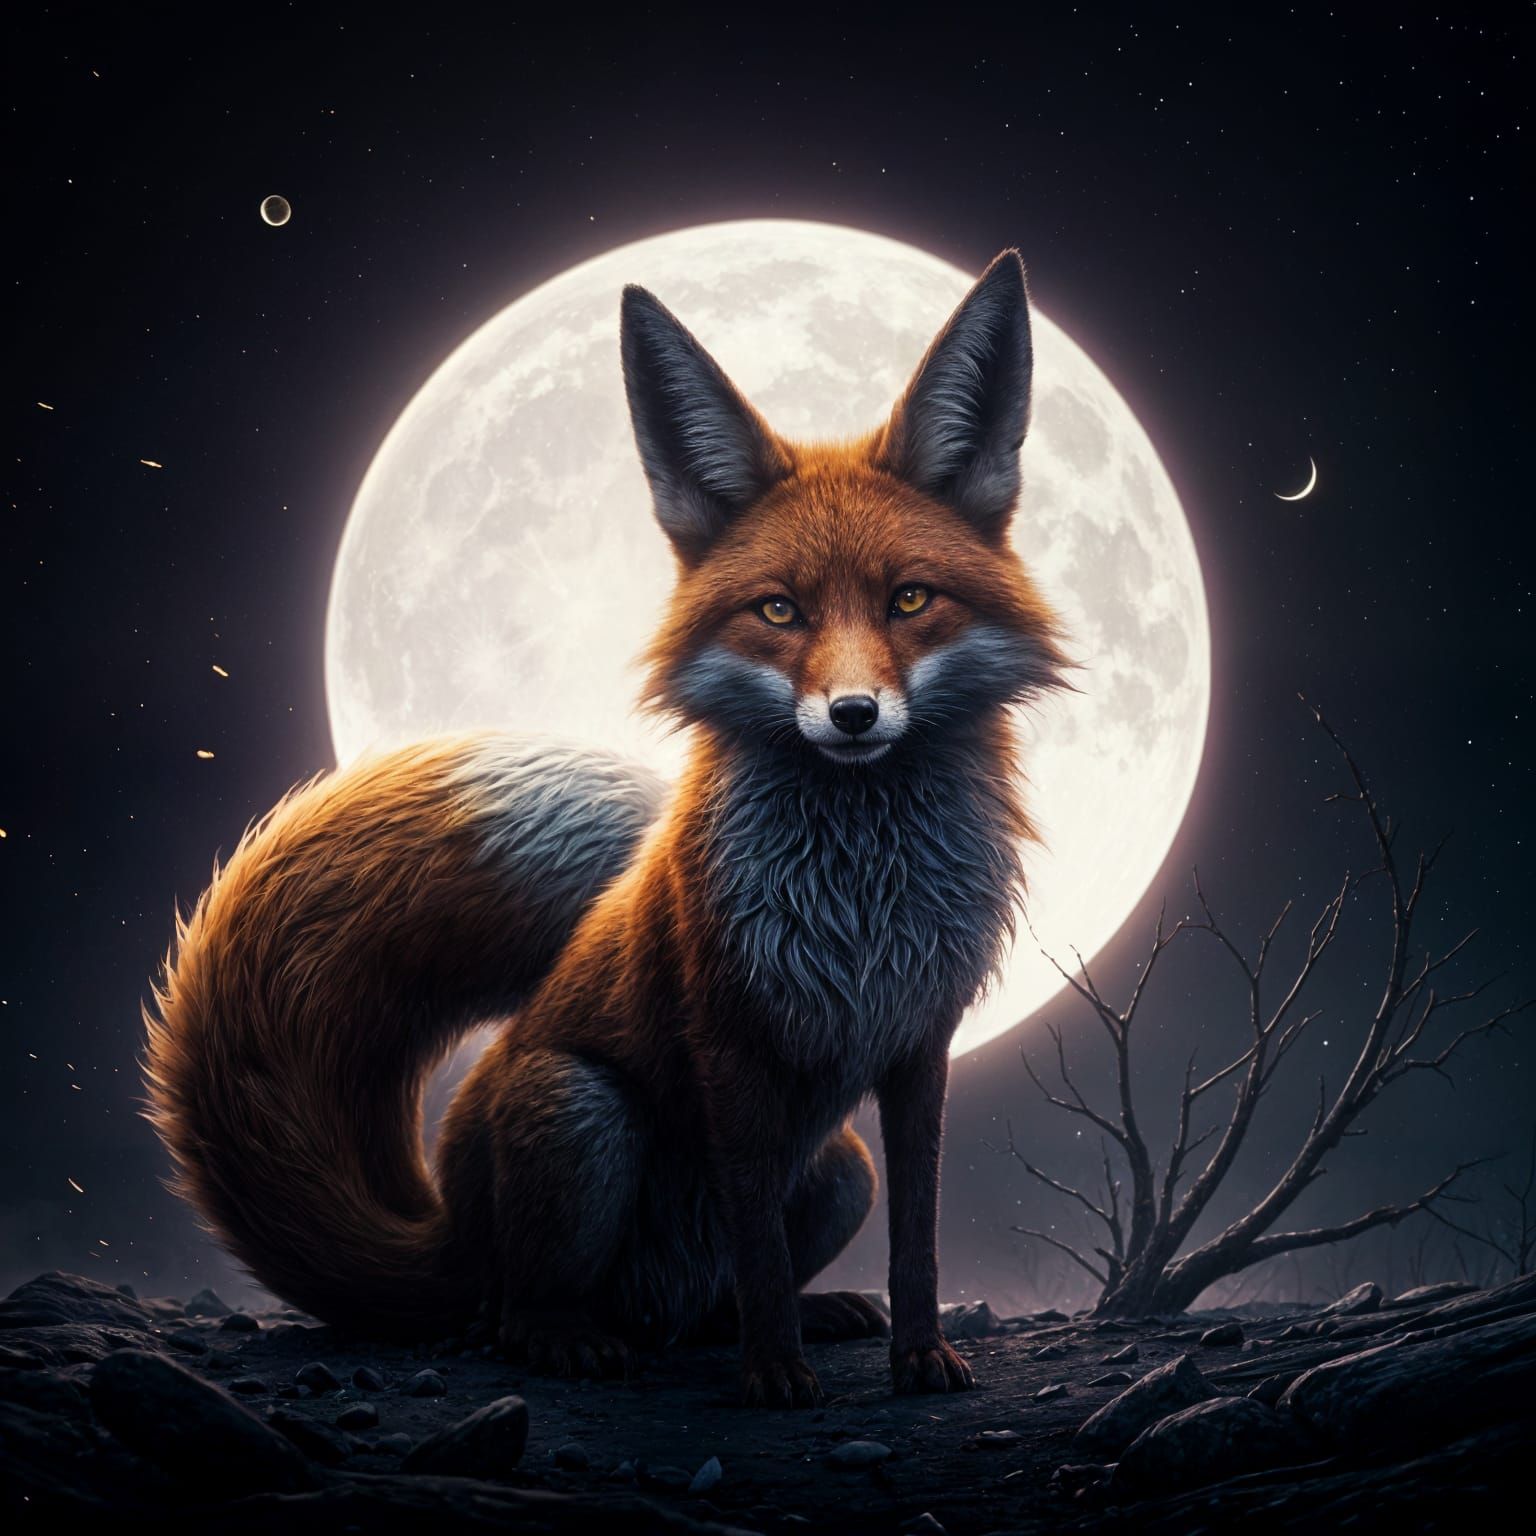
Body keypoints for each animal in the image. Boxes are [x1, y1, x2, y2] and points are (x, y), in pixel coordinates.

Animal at [143, 247, 1070, 1408]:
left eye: (910, 601)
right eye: (779, 611)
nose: (853, 715)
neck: (859, 899)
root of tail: (447, 1229)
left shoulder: (917, 1046)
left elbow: (918, 1239)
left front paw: (919, 1358)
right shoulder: (727, 1043)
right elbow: (756, 1242)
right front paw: (775, 1376)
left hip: (836, 1171)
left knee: (705, 1302)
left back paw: (792, 1316)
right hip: (581, 1114)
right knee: (519, 1310)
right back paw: (568, 1337)